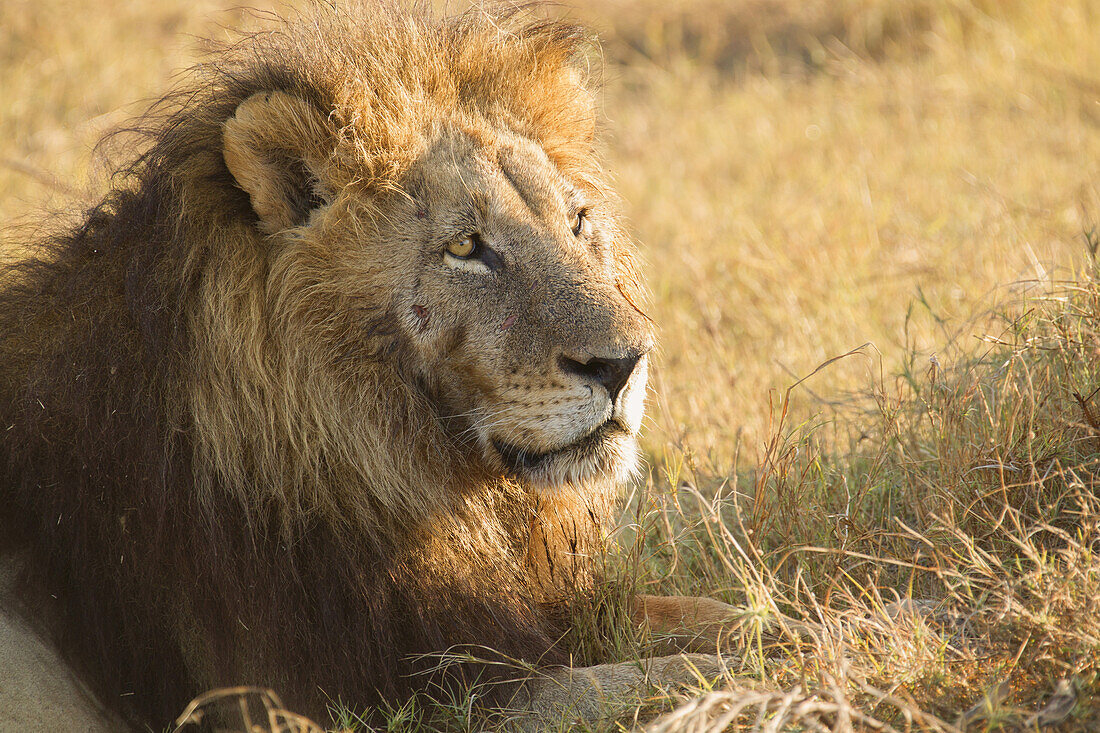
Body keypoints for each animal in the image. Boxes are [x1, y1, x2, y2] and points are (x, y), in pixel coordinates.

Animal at [2, 2, 739, 726]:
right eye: (465, 247)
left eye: (578, 221)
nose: (625, 363)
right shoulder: (397, 699)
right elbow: (645, 681)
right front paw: (746, 675)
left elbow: (700, 613)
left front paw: (764, 619)